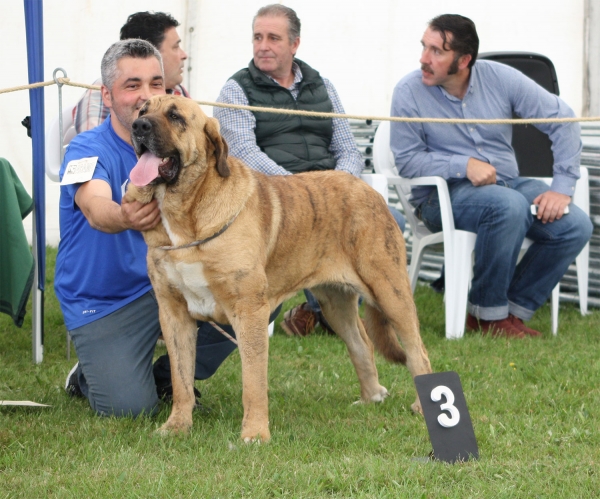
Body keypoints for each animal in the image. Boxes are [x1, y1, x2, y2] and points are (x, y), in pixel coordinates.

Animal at [126, 95, 432, 444]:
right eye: (142, 110)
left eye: (175, 116)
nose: (138, 126)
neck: (186, 215)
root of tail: (370, 190)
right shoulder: (174, 314)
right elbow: (181, 379)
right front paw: (177, 426)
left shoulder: (249, 311)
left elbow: (253, 381)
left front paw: (255, 434)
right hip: (334, 303)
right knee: (361, 344)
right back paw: (370, 398)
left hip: (390, 292)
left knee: (417, 351)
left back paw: (422, 406)